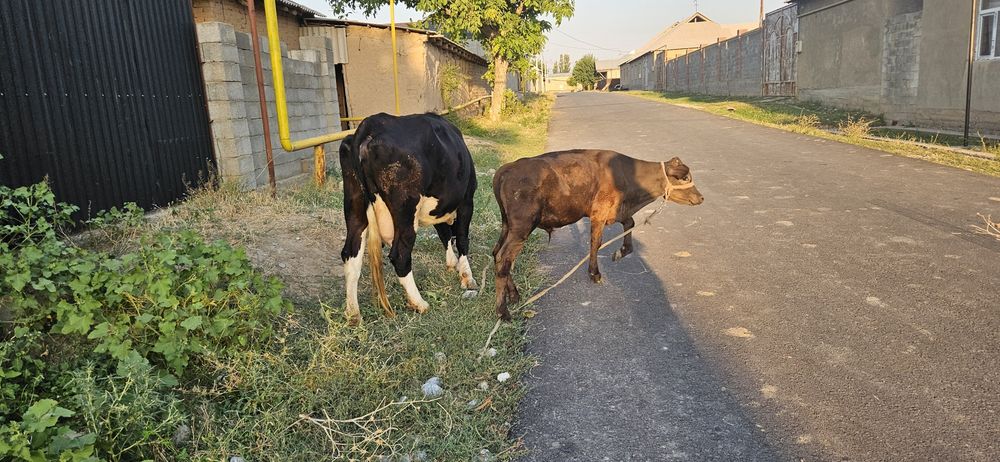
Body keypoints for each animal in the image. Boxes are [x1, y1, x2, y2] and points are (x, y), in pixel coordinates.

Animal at [339, 113, 478, 325]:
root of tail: (371, 124)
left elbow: (444, 234)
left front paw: (451, 262)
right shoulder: (466, 200)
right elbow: (462, 238)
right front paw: (466, 276)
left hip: (355, 204)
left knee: (351, 253)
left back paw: (353, 313)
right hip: (406, 209)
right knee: (400, 255)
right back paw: (419, 303)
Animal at [491, 150, 703, 320]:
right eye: (685, 178)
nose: (701, 198)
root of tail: (508, 168)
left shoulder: (616, 212)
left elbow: (630, 225)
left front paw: (620, 252)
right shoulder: (599, 214)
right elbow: (596, 243)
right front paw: (595, 273)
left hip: (507, 225)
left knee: (497, 253)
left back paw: (514, 295)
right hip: (522, 226)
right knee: (503, 258)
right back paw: (503, 311)